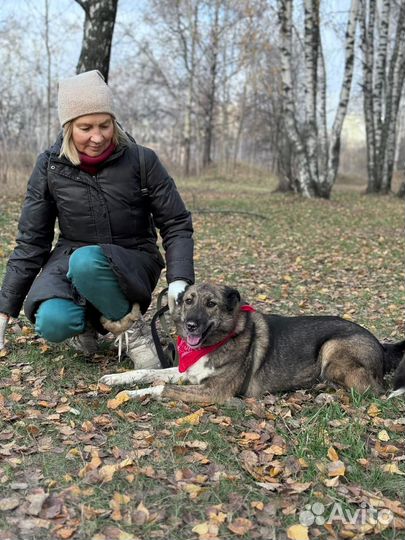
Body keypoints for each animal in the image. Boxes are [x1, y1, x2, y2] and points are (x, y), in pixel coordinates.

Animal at [99, 284, 404, 402]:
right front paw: (116, 380)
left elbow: (162, 387)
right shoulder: (189, 373)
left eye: (211, 304)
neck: (221, 339)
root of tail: (380, 344)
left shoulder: (214, 392)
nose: (191, 325)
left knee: (372, 390)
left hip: (332, 348)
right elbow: (149, 372)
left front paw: (131, 394)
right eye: (188, 301)